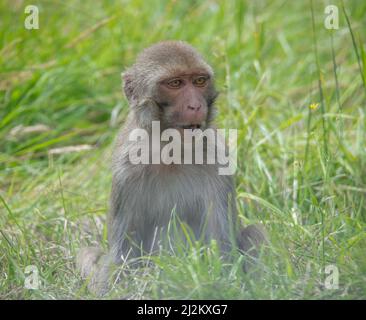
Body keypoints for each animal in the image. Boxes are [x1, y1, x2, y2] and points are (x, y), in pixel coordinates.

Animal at [76, 41, 266, 296]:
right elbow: (122, 256)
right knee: (88, 254)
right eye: (175, 84)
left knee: (256, 233)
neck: (171, 152)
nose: (195, 105)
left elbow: (223, 246)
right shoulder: (126, 172)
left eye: (199, 81)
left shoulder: (217, 161)